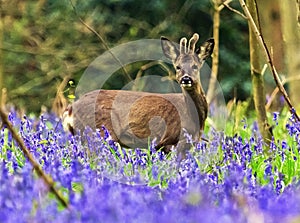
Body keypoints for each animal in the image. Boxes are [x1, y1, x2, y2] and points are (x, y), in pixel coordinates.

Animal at [62, 34, 213, 156]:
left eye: (195, 66)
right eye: (178, 67)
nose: (186, 79)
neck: (194, 118)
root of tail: (70, 109)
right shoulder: (171, 141)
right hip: (98, 131)